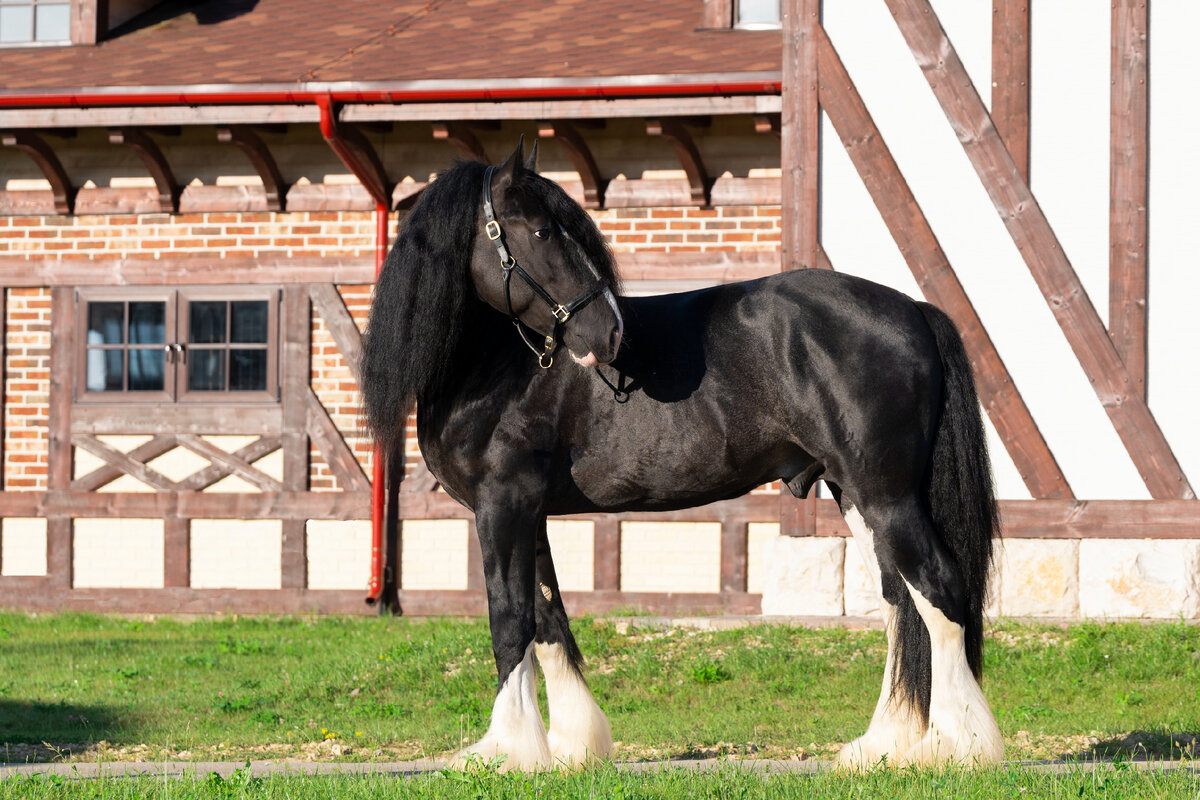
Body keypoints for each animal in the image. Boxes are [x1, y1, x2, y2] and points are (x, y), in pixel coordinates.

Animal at [362, 142, 1003, 767]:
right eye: (541, 231)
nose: (609, 334)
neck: (499, 365)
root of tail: (913, 308)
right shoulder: (526, 513)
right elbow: (547, 619)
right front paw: (572, 745)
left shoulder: (502, 506)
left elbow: (510, 618)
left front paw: (507, 749)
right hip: (856, 494)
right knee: (899, 602)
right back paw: (883, 744)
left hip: (886, 494)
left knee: (938, 591)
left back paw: (958, 747)